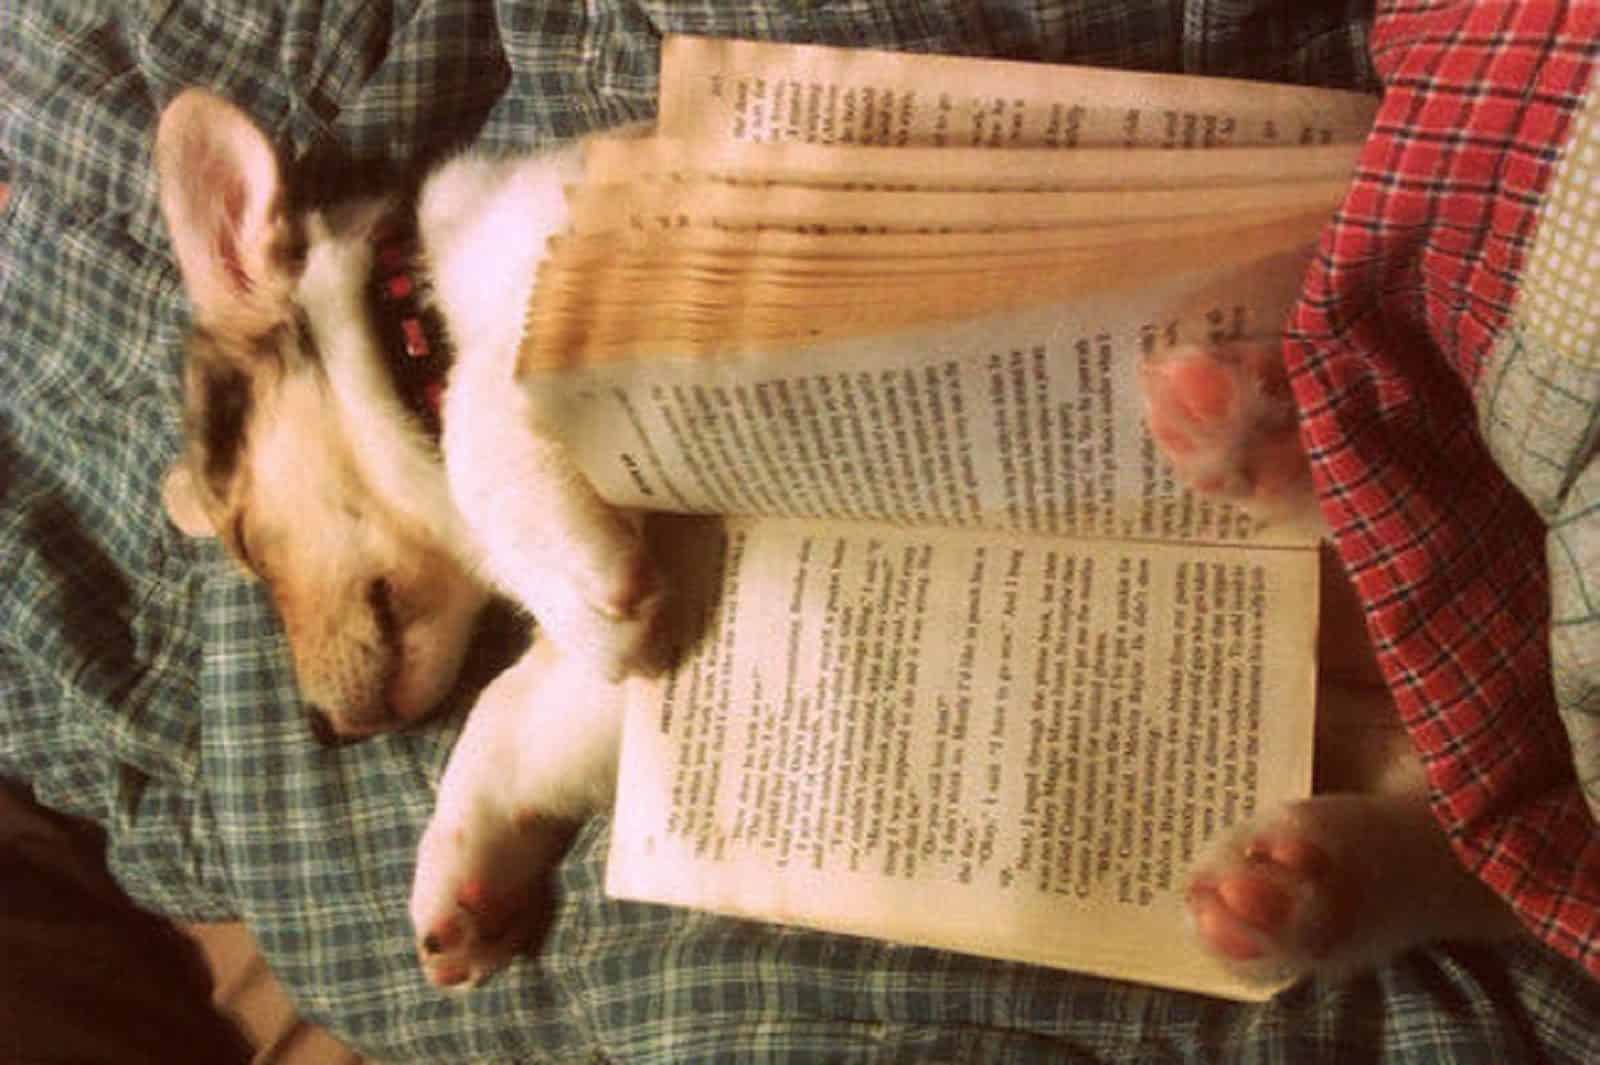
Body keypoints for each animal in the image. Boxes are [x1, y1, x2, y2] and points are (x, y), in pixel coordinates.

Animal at [154, 88, 1521, 991]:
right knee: (1479, 828)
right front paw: (459, 891)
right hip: (1403, 731)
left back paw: (1243, 430)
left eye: (241, 538)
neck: (416, 315)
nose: (323, 732)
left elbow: (500, 423)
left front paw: (565, 562)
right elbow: (515, 716)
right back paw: (1297, 887)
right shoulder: (658, 634)